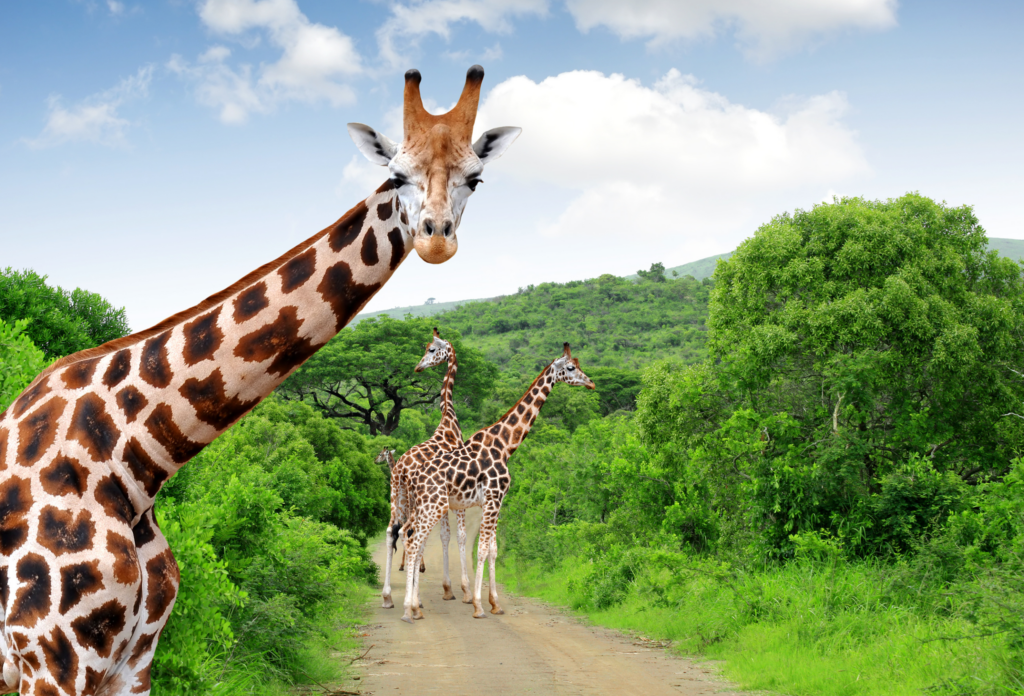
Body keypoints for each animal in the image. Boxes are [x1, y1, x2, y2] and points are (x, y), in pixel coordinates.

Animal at [378, 329, 470, 610]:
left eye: (431, 349)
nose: (418, 367)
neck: (449, 423)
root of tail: (399, 470)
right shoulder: (457, 497)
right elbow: (457, 535)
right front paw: (463, 590)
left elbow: (444, 535)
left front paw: (448, 589)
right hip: (414, 501)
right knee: (409, 533)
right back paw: (413, 599)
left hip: (396, 497)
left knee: (392, 532)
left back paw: (388, 596)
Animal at [401, 343, 595, 623]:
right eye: (570, 367)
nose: (590, 383)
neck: (505, 445)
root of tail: (412, 477)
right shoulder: (493, 498)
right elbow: (482, 549)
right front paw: (478, 606)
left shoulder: (494, 501)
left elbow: (493, 549)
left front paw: (495, 604)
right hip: (433, 507)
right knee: (415, 543)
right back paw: (409, 609)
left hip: (423, 507)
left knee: (410, 541)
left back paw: (414, 607)